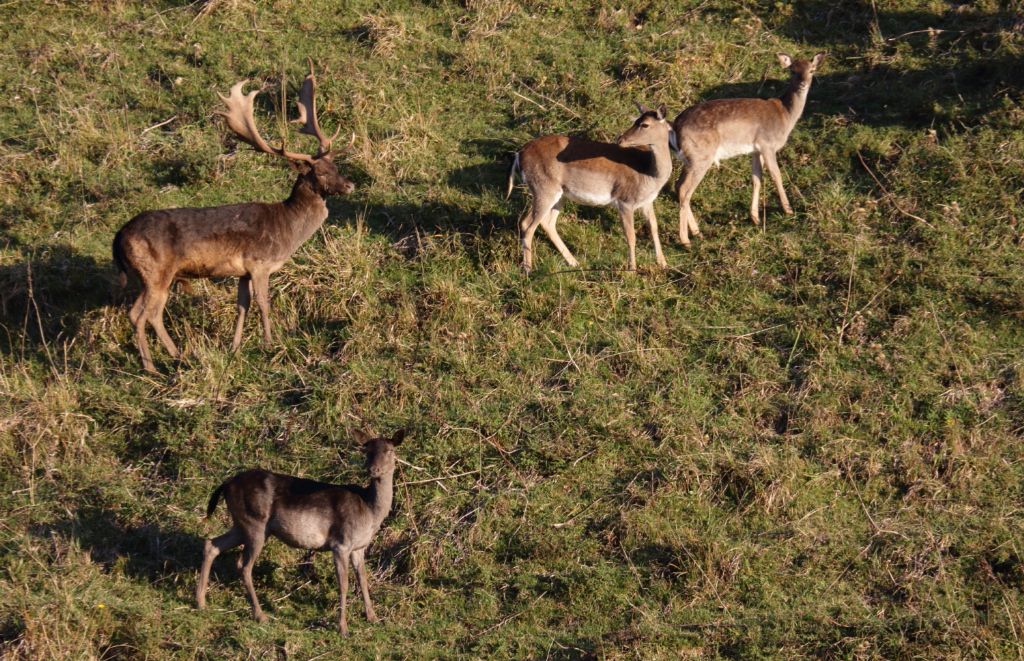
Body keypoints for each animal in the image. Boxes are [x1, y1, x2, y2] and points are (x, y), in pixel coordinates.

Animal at [111, 62, 352, 376]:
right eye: (320, 172)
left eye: (336, 166)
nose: (349, 185)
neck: (287, 230)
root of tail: (118, 238)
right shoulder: (260, 262)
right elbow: (263, 303)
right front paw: (270, 343)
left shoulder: (242, 271)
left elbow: (242, 305)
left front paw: (235, 347)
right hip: (156, 271)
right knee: (145, 314)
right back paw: (156, 366)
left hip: (148, 276)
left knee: (137, 313)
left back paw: (173, 356)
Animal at [193, 429, 405, 638]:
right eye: (367, 451)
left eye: (389, 450)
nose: (373, 470)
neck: (370, 512)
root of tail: (226, 484)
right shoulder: (340, 543)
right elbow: (343, 584)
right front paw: (343, 628)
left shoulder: (359, 547)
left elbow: (363, 579)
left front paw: (373, 617)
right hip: (255, 523)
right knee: (244, 565)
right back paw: (260, 615)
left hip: (242, 524)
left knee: (212, 545)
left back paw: (201, 602)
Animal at [505, 103, 679, 272]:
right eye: (636, 121)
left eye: (644, 124)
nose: (620, 139)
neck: (648, 173)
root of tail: (519, 154)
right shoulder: (625, 200)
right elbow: (631, 235)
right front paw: (632, 270)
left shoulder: (647, 202)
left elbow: (654, 228)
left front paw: (664, 264)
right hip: (543, 188)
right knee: (527, 224)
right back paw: (528, 270)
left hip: (559, 194)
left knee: (547, 223)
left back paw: (574, 262)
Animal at [671, 51, 823, 243]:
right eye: (792, 71)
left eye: (812, 70)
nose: (803, 84)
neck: (785, 116)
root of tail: (675, 127)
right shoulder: (768, 144)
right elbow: (776, 175)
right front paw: (788, 210)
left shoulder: (756, 149)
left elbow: (756, 178)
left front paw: (755, 218)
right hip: (700, 157)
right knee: (685, 189)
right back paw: (685, 240)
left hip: (690, 159)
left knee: (678, 186)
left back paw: (697, 232)